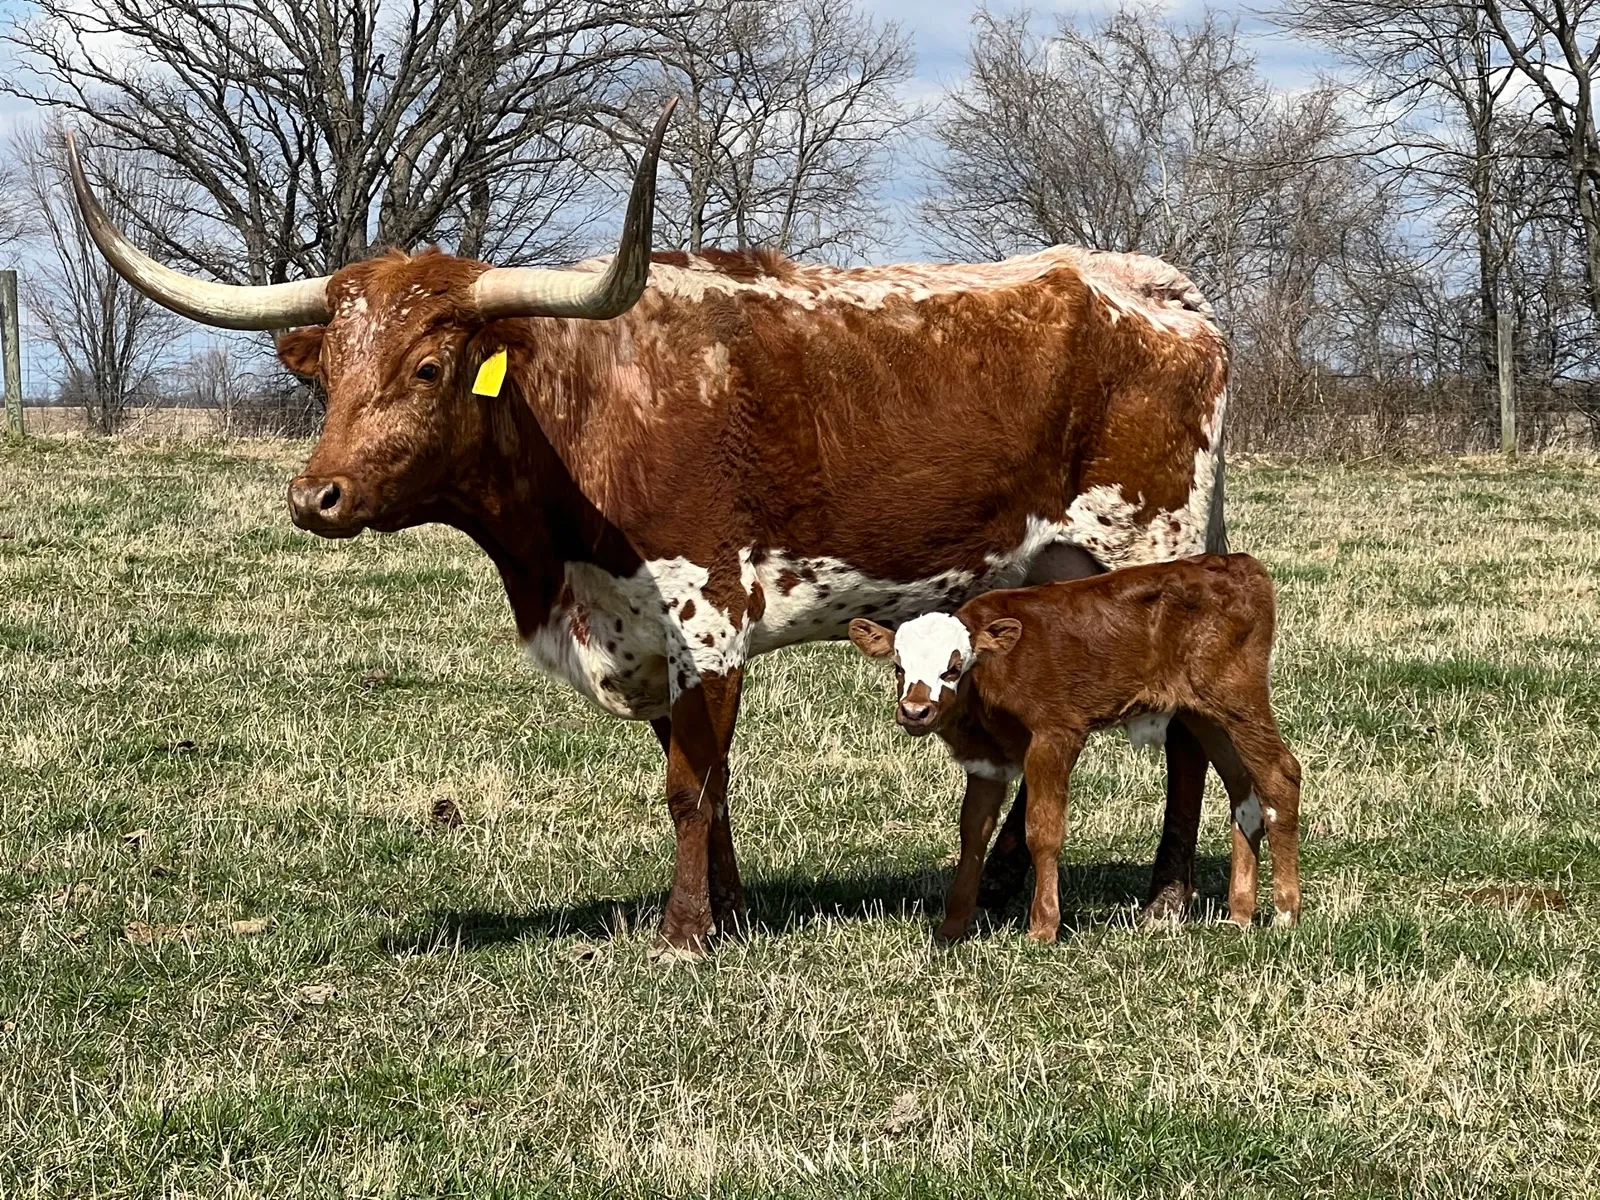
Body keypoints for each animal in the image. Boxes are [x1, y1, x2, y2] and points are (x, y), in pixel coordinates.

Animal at [66, 106, 1231, 953]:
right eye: (329, 376)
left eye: (431, 368)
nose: (316, 498)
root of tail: (1149, 285)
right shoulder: (641, 629)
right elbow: (708, 783)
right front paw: (732, 913)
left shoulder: (706, 614)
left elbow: (688, 785)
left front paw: (683, 932)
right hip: (1046, 566)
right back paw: (1001, 884)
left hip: (1156, 554)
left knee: (1184, 737)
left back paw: (1166, 899)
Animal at [848, 554, 1302, 943]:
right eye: (899, 667)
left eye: (954, 668)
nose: (915, 711)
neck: (990, 681)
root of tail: (1234, 563)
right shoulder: (986, 760)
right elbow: (973, 833)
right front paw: (953, 925)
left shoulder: (1056, 735)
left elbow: (1043, 830)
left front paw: (1043, 926)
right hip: (1204, 714)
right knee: (1244, 792)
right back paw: (1240, 913)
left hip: (1238, 699)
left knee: (1280, 777)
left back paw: (1285, 911)